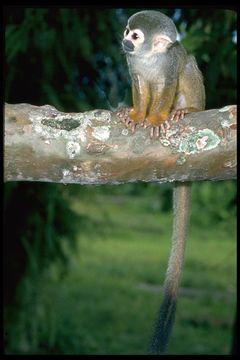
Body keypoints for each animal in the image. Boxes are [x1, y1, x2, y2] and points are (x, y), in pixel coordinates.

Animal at [117, 10, 205, 354]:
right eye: (127, 32)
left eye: (135, 36)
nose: (123, 40)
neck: (149, 57)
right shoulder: (134, 64)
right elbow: (140, 83)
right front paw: (137, 115)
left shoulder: (167, 65)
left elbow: (168, 81)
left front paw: (154, 119)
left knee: (188, 63)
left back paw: (187, 110)